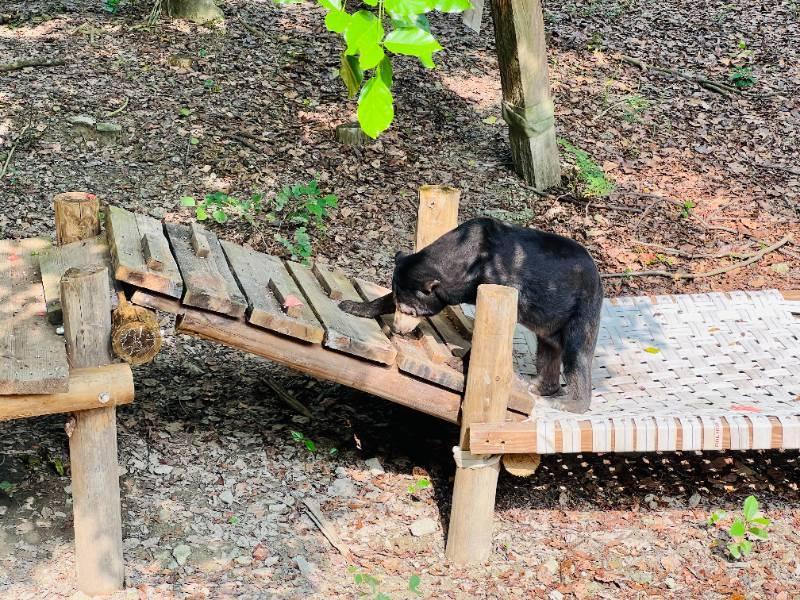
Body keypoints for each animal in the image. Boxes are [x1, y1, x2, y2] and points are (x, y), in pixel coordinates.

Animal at [338, 218, 600, 414]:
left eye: (411, 311)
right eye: (399, 305)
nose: (398, 329)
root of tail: (598, 275)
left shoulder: (500, 281)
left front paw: (458, 362)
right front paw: (351, 305)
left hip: (580, 310)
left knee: (576, 356)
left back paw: (569, 403)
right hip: (551, 323)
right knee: (547, 351)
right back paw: (536, 385)